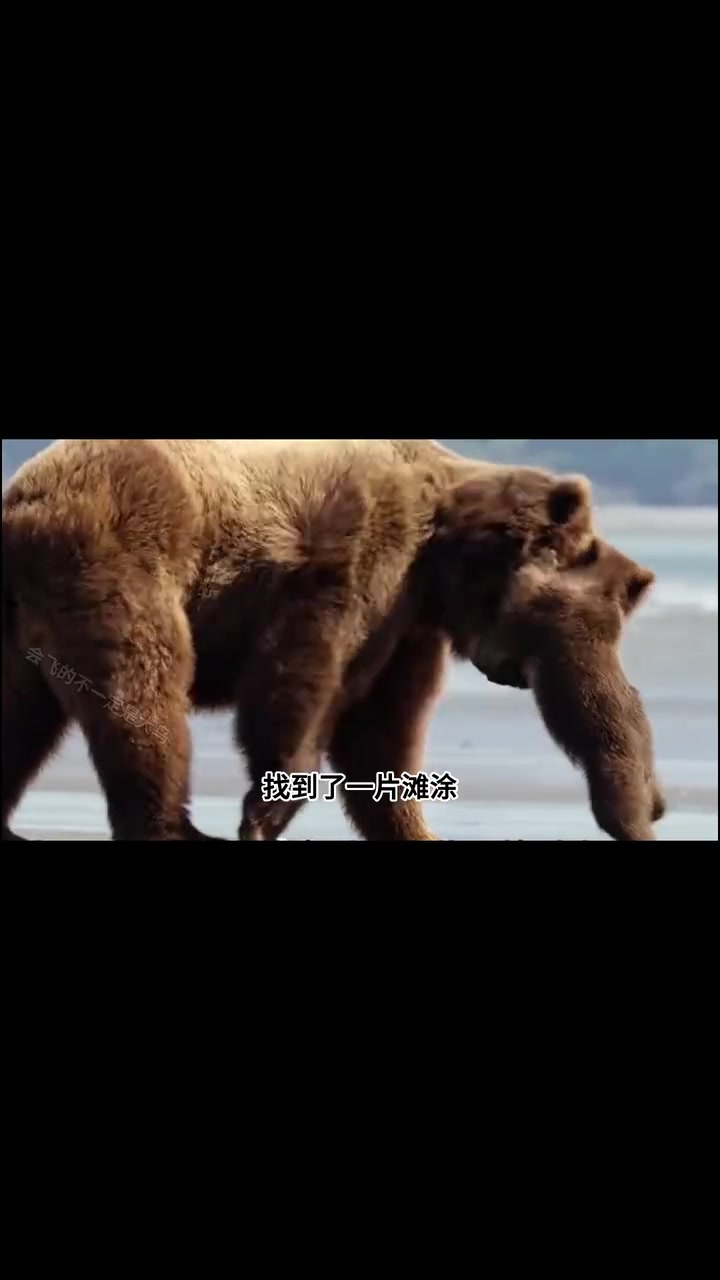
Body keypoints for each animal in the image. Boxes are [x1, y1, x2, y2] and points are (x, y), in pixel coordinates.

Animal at [2, 438, 598, 842]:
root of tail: (23, 506)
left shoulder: (406, 628)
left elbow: (381, 732)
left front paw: (411, 824)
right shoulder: (361, 558)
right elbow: (302, 676)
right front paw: (265, 810)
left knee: (21, 712)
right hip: (124, 551)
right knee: (142, 693)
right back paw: (175, 825)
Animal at [471, 539, 665, 841]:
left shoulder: (551, 612)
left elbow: (521, 603)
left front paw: (540, 557)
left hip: (613, 765)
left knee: (620, 813)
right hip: (646, 767)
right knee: (654, 801)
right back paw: (658, 808)